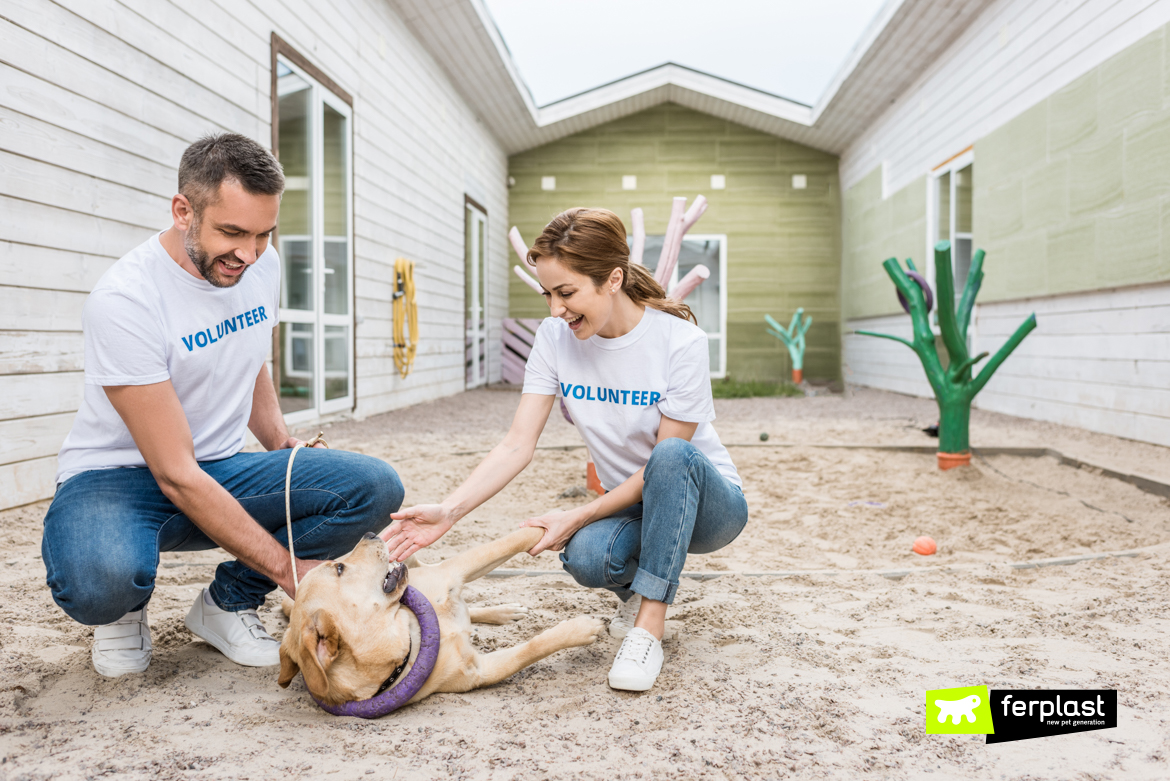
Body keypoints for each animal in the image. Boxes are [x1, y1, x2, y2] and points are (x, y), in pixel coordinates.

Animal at [280, 528, 603, 706]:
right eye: (339, 569)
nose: (370, 534)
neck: (411, 637)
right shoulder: (480, 671)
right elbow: (531, 648)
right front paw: (581, 628)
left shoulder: (452, 570)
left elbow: (517, 538)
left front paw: (557, 520)